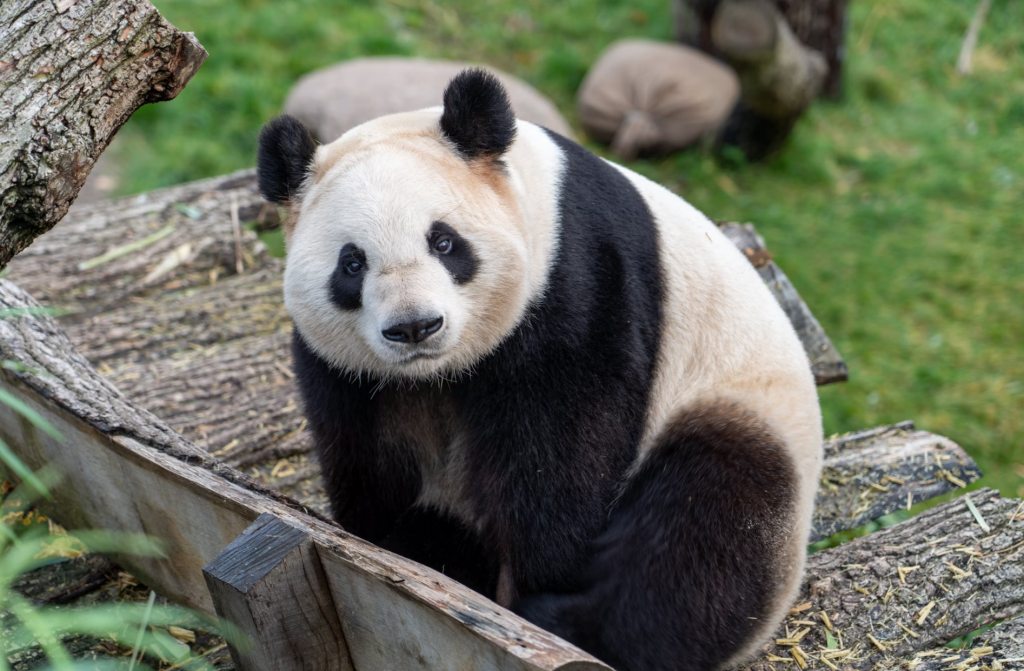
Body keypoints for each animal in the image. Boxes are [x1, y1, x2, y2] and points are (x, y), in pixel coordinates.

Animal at [257, 69, 822, 671]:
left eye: (444, 241)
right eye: (352, 263)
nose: (414, 327)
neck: (440, 373)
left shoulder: (577, 279)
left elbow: (562, 447)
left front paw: (533, 583)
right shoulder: (347, 370)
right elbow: (369, 454)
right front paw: (403, 548)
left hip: (737, 403)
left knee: (704, 530)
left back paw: (570, 622)